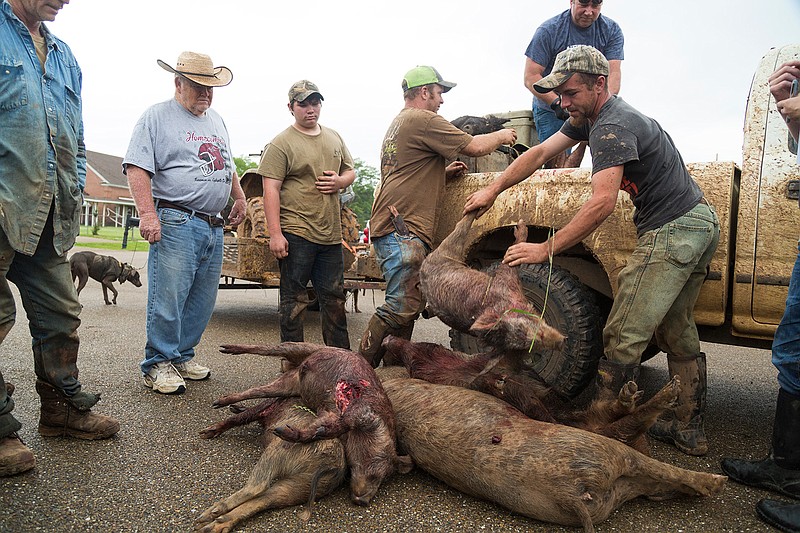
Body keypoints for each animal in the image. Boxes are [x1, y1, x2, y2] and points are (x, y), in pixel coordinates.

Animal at [195, 396, 346, 528]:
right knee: (264, 499)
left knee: (258, 486)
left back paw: (209, 513)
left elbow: (239, 418)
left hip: (279, 448)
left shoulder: (265, 406)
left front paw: (206, 433)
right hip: (303, 486)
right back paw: (209, 526)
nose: (233, 407)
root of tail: (332, 466)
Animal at [214, 342, 412, 504]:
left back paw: (221, 402)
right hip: (300, 348)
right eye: (375, 475)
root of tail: (302, 365)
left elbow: (322, 426)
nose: (363, 501)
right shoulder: (358, 413)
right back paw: (226, 349)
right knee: (270, 349)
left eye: (385, 477)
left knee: (256, 391)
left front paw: (284, 431)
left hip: (289, 384)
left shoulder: (327, 413)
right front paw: (282, 431)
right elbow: (334, 424)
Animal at [382, 336, 676, 454]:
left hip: (570, 411)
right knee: (611, 428)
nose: (387, 341)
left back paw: (636, 395)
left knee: (608, 419)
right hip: (567, 416)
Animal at [418, 210, 564, 352]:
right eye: (522, 334)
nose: (561, 342)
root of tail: (423, 266)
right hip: (446, 251)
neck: (506, 302)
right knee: (459, 229)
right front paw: (521, 224)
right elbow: (508, 263)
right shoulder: (505, 279)